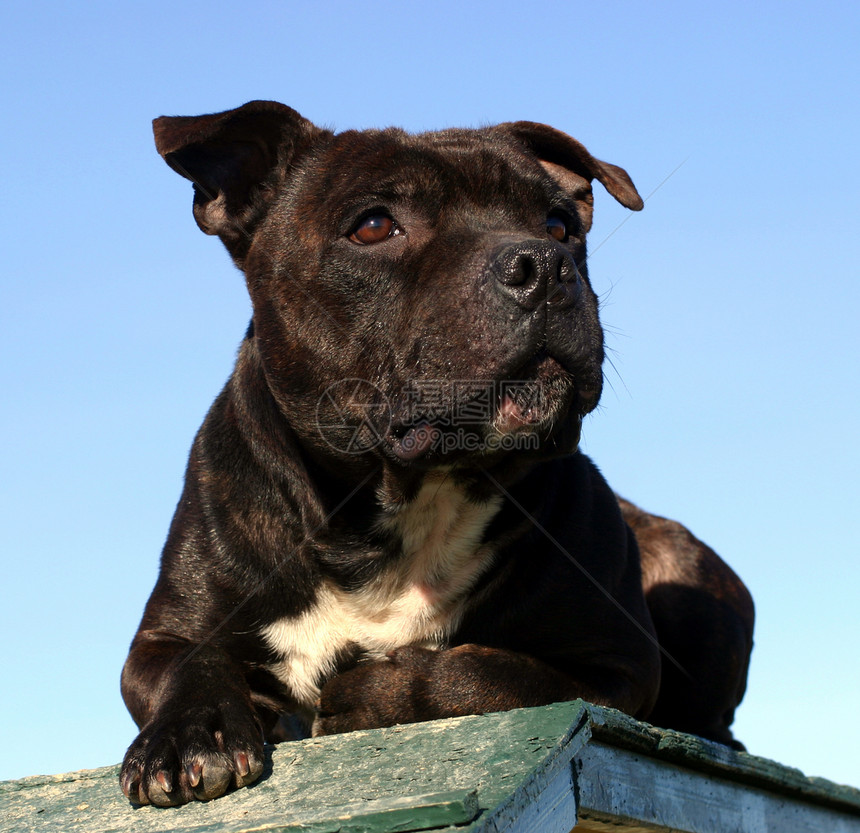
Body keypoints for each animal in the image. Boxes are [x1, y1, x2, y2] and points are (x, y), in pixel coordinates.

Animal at [119, 101, 752, 804]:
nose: (544, 263)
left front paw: (374, 690)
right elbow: (190, 659)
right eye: (373, 226)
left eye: (560, 225)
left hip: (684, 567)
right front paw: (190, 731)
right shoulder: (160, 637)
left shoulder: (617, 663)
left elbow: (492, 677)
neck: (399, 503)